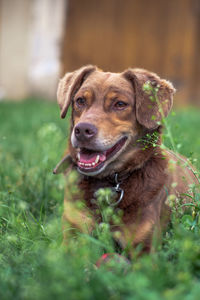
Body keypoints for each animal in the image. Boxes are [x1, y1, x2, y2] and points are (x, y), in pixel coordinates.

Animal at [54, 65, 198, 253]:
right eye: (80, 101)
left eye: (120, 104)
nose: (82, 130)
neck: (108, 181)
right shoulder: (72, 236)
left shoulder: (143, 248)